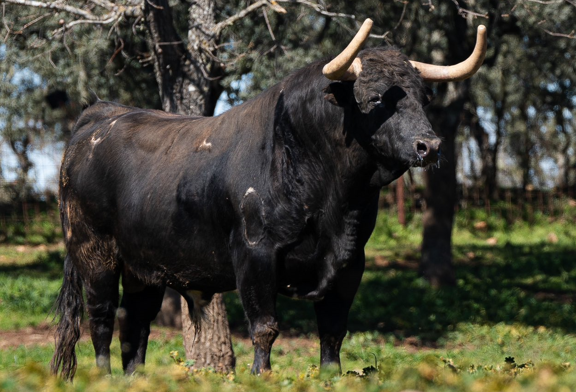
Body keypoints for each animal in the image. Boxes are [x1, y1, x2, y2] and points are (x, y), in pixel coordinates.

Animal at [50, 47, 446, 378]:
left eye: (423, 98)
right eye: (375, 98)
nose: (430, 146)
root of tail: (101, 114)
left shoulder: (351, 262)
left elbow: (333, 328)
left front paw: (331, 376)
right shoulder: (255, 255)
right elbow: (264, 326)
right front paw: (261, 375)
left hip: (143, 269)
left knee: (134, 323)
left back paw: (136, 378)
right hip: (94, 252)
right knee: (101, 318)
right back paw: (103, 377)